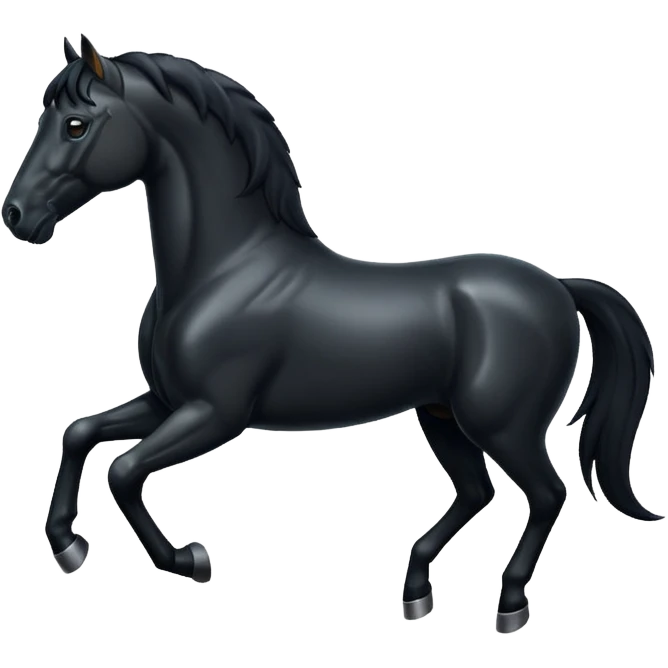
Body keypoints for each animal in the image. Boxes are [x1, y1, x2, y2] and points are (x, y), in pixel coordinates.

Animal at [3, 35, 659, 633]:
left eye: (77, 125)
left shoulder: (214, 413)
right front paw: (67, 545)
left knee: (546, 494)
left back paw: (509, 603)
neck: (223, 270)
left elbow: (124, 470)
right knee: (476, 492)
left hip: (503, 425)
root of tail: (558, 287)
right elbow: (81, 433)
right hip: (442, 417)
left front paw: (190, 560)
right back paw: (416, 592)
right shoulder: (167, 402)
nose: (16, 216)